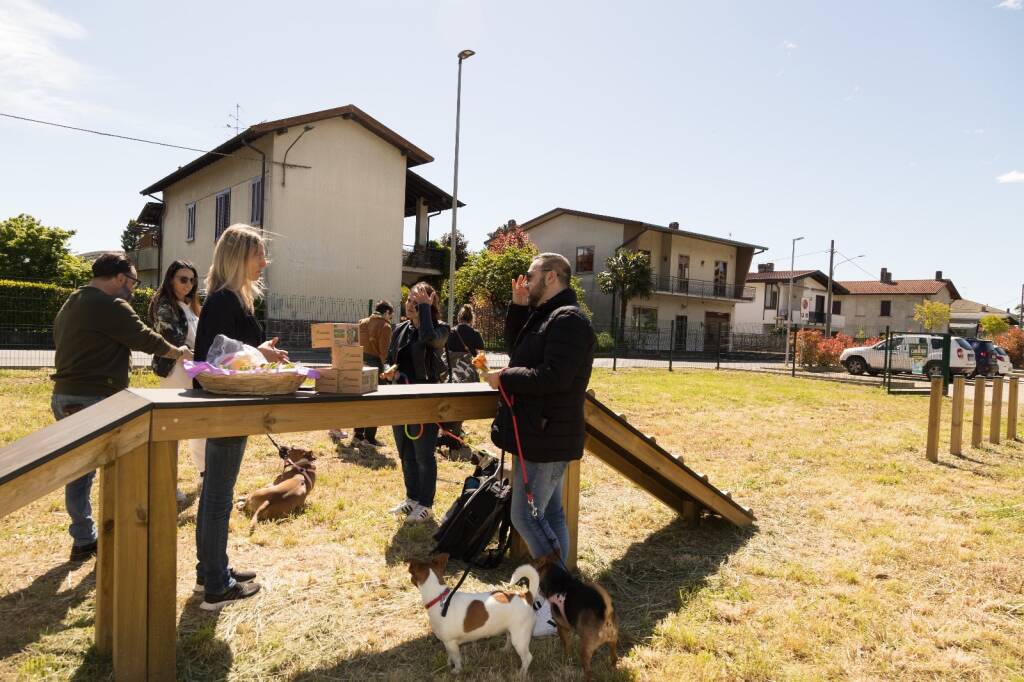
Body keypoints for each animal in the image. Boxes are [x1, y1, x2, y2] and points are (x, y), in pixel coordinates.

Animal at [405, 552, 540, 675]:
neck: (439, 598)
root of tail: (526, 596)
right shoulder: (448, 643)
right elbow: (450, 655)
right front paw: (448, 664)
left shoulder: (451, 643)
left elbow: (456, 658)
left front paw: (456, 670)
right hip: (510, 630)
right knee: (509, 638)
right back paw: (505, 650)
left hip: (520, 637)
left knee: (527, 657)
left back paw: (521, 673)